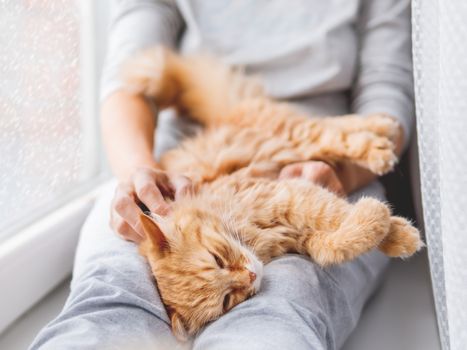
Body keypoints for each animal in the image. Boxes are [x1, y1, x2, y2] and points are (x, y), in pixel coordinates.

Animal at [121, 46, 424, 340]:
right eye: (227, 300)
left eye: (217, 259)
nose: (251, 275)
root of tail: (224, 117)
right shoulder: (303, 234)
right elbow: (337, 244)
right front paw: (385, 226)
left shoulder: (288, 196)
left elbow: (337, 214)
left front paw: (398, 232)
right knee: (334, 127)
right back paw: (382, 129)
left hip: (293, 135)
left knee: (334, 130)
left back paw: (382, 139)